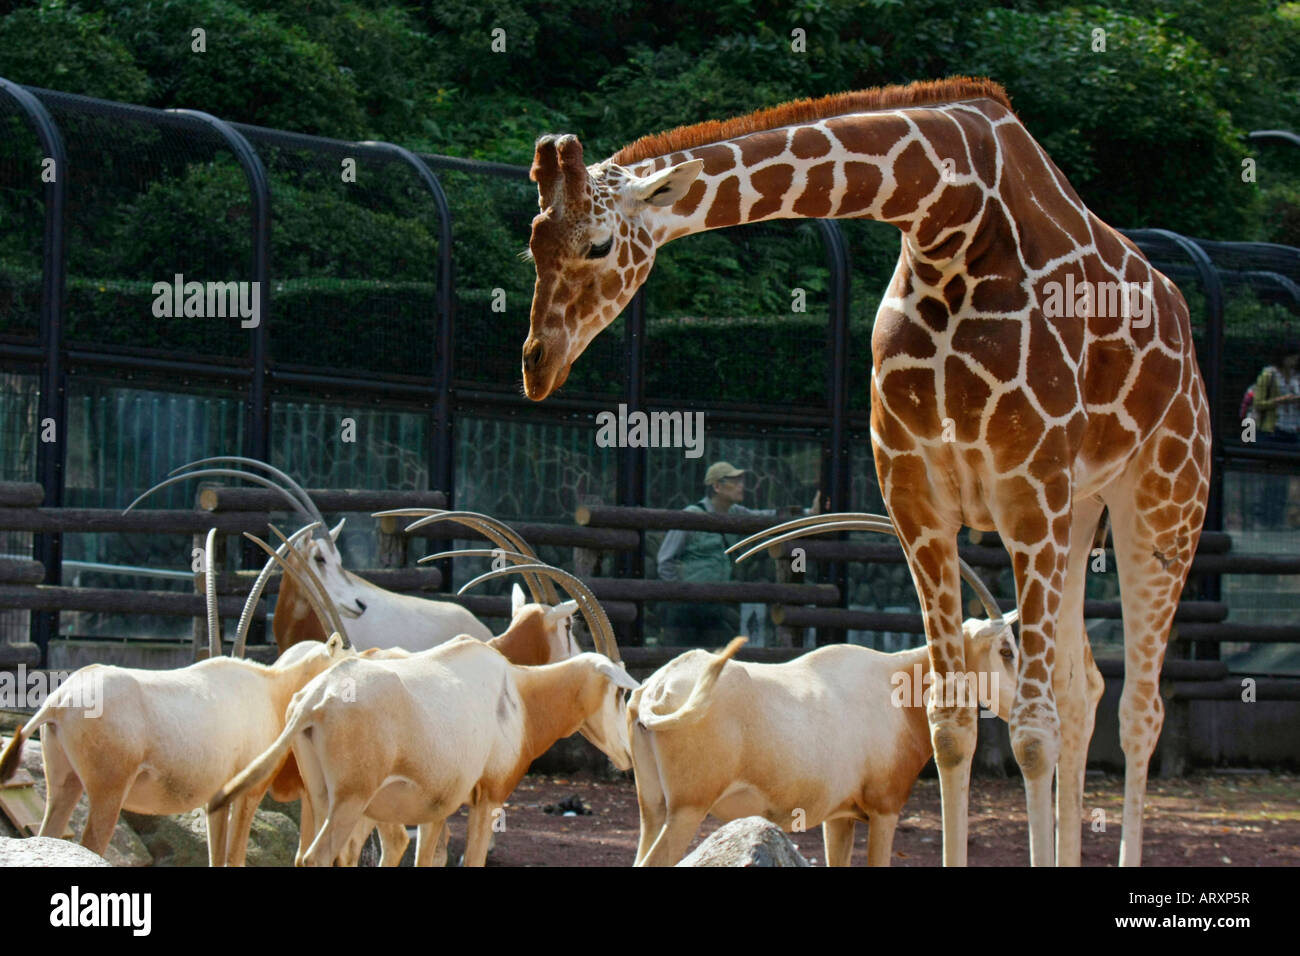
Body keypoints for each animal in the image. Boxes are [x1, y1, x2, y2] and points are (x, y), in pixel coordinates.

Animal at [517, 76, 1206, 868]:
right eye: (533, 241)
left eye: (598, 243)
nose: (537, 364)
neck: (951, 221)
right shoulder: (917, 493)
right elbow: (951, 722)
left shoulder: (1028, 491)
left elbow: (1031, 732)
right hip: (1083, 505)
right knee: (1081, 685)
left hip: (1159, 503)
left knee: (1137, 710)